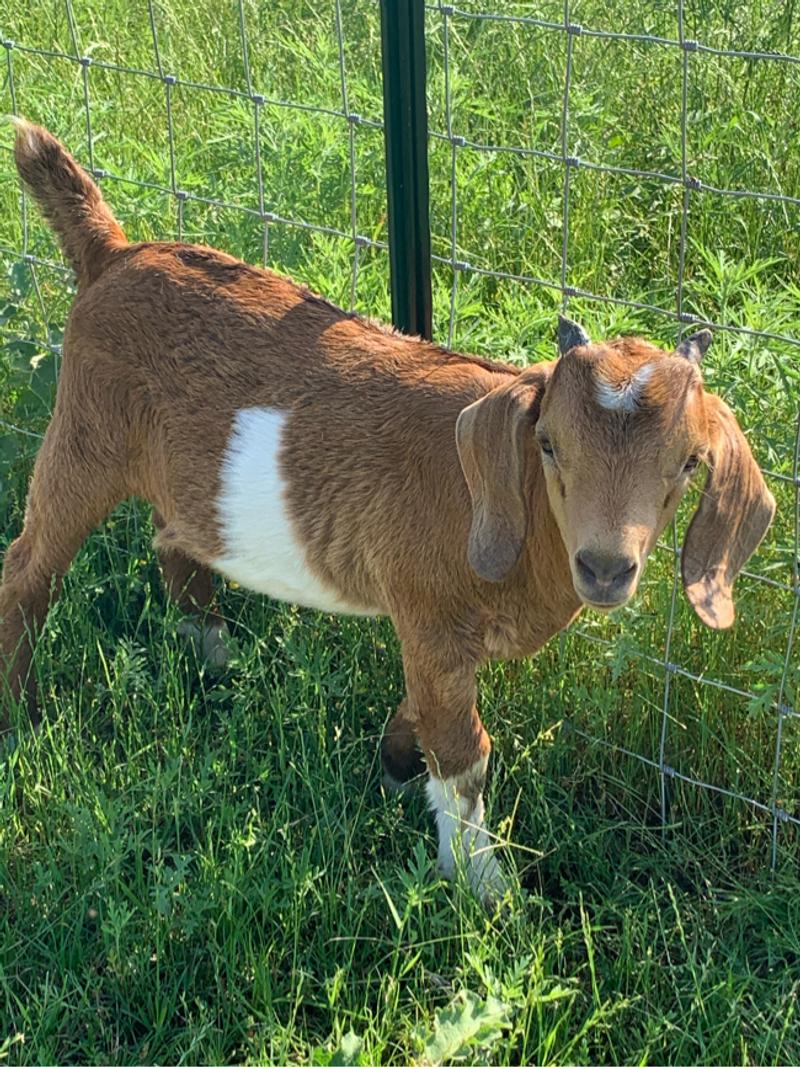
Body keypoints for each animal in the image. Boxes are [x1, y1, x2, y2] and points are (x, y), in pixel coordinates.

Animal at [1, 120, 776, 902]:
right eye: (549, 443)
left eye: (689, 461)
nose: (606, 567)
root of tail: (114, 253)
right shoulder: (427, 609)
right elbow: (465, 751)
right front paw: (483, 886)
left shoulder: (437, 636)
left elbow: (427, 712)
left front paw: (395, 769)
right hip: (85, 434)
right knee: (27, 567)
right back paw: (22, 715)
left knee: (175, 539)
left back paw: (215, 661)